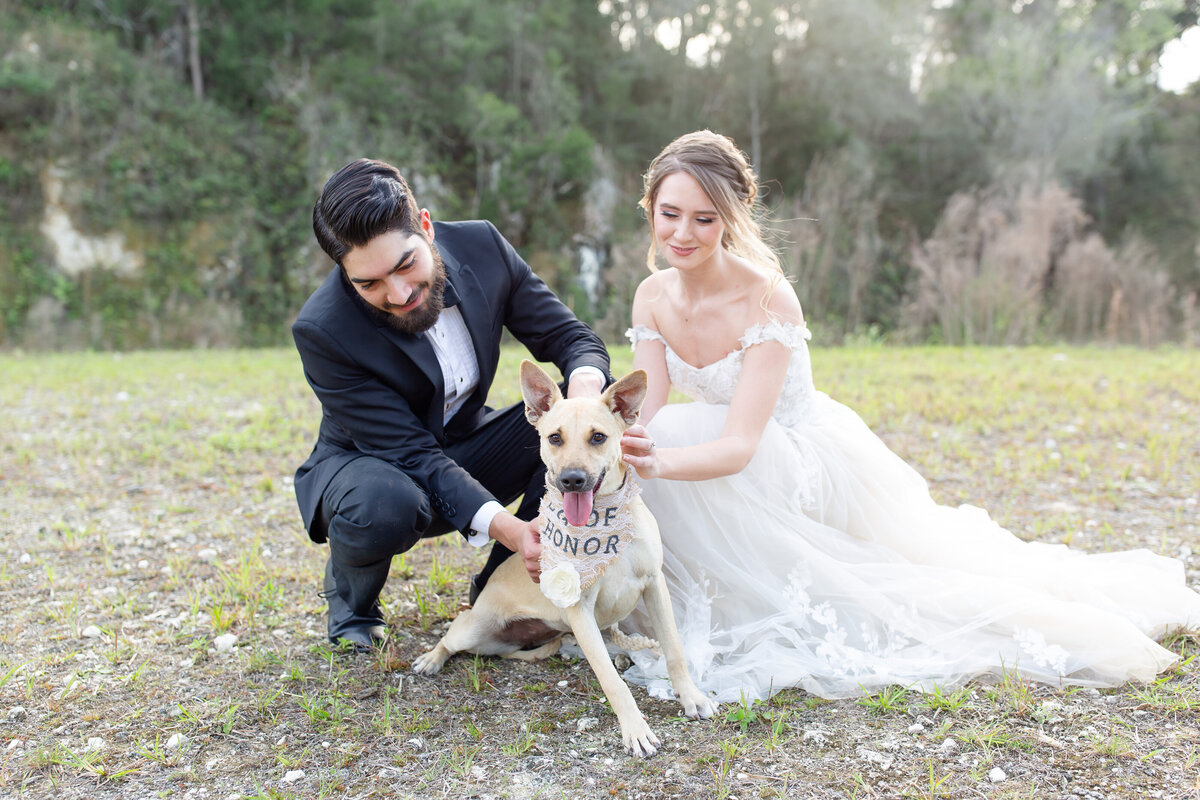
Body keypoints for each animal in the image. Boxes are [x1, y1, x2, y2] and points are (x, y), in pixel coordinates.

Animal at [412, 362, 715, 758]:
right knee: (453, 635)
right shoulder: (579, 608)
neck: (602, 521)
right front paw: (635, 729)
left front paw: (691, 696)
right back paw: (431, 658)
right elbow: (612, 681)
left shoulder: (654, 585)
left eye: (598, 437)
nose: (572, 480)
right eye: (554, 438)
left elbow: (675, 650)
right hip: (474, 631)